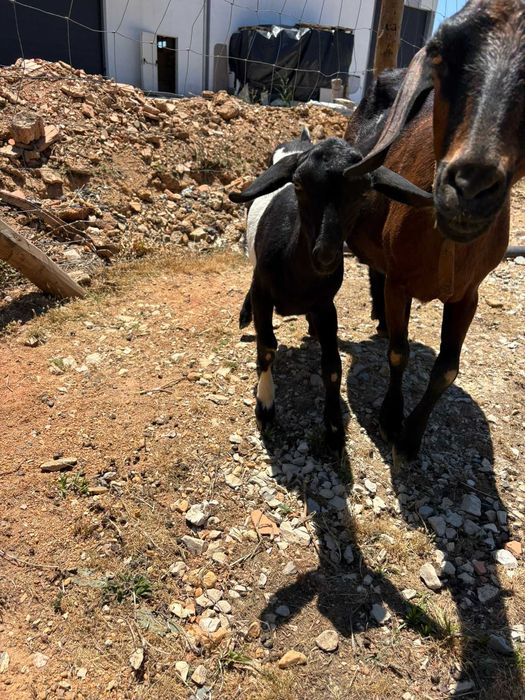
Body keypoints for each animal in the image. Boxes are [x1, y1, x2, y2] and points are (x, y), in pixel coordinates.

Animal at [229, 136, 431, 451]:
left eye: (364, 192)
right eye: (298, 184)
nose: (326, 255)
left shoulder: (326, 306)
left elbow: (333, 366)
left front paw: (335, 428)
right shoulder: (263, 293)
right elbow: (266, 348)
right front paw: (265, 407)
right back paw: (244, 314)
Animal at [342, 0, 524, 467]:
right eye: (441, 49)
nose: (470, 185)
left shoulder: (468, 294)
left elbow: (447, 369)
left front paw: (411, 437)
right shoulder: (401, 283)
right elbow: (399, 352)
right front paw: (391, 419)